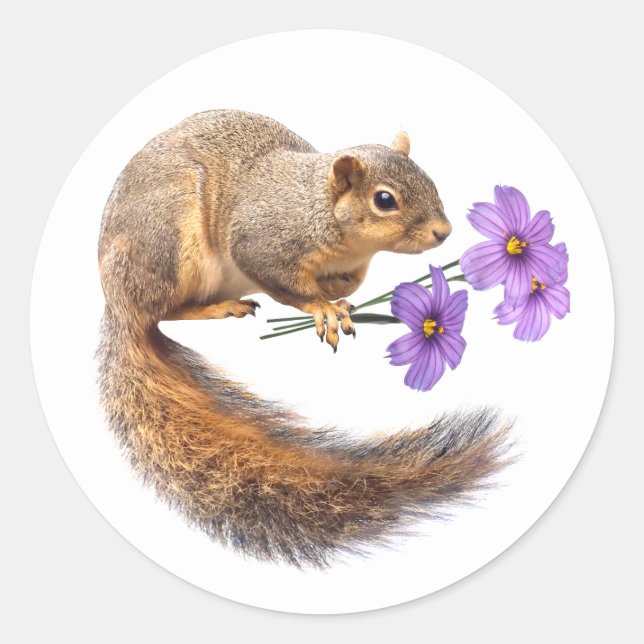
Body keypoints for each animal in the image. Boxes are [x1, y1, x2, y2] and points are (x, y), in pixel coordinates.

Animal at [97, 109, 512, 567]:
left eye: (430, 179)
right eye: (385, 200)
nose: (444, 231)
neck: (323, 211)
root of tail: (117, 303)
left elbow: (350, 281)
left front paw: (340, 293)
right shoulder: (265, 242)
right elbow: (283, 281)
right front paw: (323, 307)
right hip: (169, 241)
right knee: (163, 310)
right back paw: (213, 308)